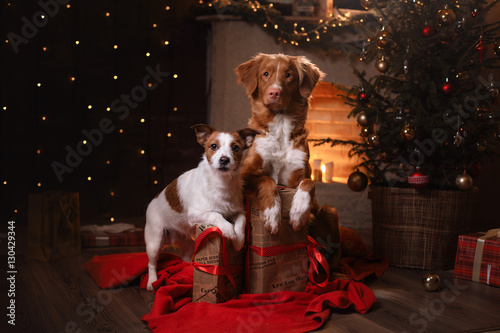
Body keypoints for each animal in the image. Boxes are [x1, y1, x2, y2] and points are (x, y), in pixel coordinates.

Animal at [145, 123, 258, 290]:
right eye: (213, 146)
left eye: (235, 147)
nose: (224, 159)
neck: (221, 183)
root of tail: (152, 201)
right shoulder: (195, 214)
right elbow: (216, 214)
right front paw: (228, 230)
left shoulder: (238, 211)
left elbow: (240, 222)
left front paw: (238, 240)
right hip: (155, 240)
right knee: (152, 263)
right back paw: (152, 281)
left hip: (189, 243)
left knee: (185, 257)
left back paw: (185, 270)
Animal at [235, 53, 340, 270]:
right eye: (266, 74)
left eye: (289, 75)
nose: (274, 92)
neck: (281, 126)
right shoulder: (246, 173)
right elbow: (267, 180)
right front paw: (272, 215)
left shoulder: (298, 175)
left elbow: (309, 183)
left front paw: (298, 213)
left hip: (330, 211)